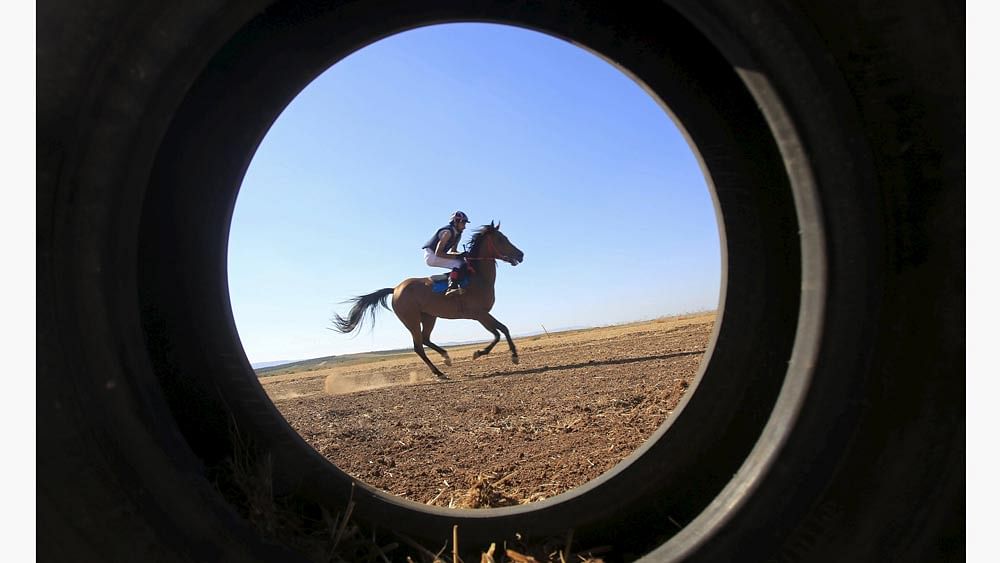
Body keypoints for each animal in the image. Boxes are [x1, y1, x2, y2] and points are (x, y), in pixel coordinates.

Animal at [332, 221, 528, 378]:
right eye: (501, 239)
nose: (521, 254)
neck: (478, 276)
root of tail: (395, 289)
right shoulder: (479, 314)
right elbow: (497, 333)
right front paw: (481, 353)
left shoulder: (483, 314)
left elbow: (504, 329)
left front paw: (514, 356)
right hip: (411, 319)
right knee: (418, 346)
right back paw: (439, 372)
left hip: (429, 316)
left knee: (425, 339)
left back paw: (446, 357)